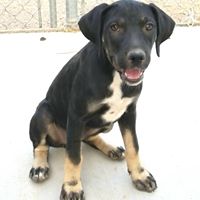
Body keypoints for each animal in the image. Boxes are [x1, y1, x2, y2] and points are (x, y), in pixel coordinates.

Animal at [28, 0, 174, 199]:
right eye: (114, 27)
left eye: (149, 26)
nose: (137, 57)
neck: (115, 75)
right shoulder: (76, 116)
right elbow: (74, 157)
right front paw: (72, 187)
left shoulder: (129, 112)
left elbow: (133, 145)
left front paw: (139, 175)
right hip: (44, 112)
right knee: (41, 145)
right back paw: (40, 166)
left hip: (104, 124)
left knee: (88, 138)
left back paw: (110, 148)